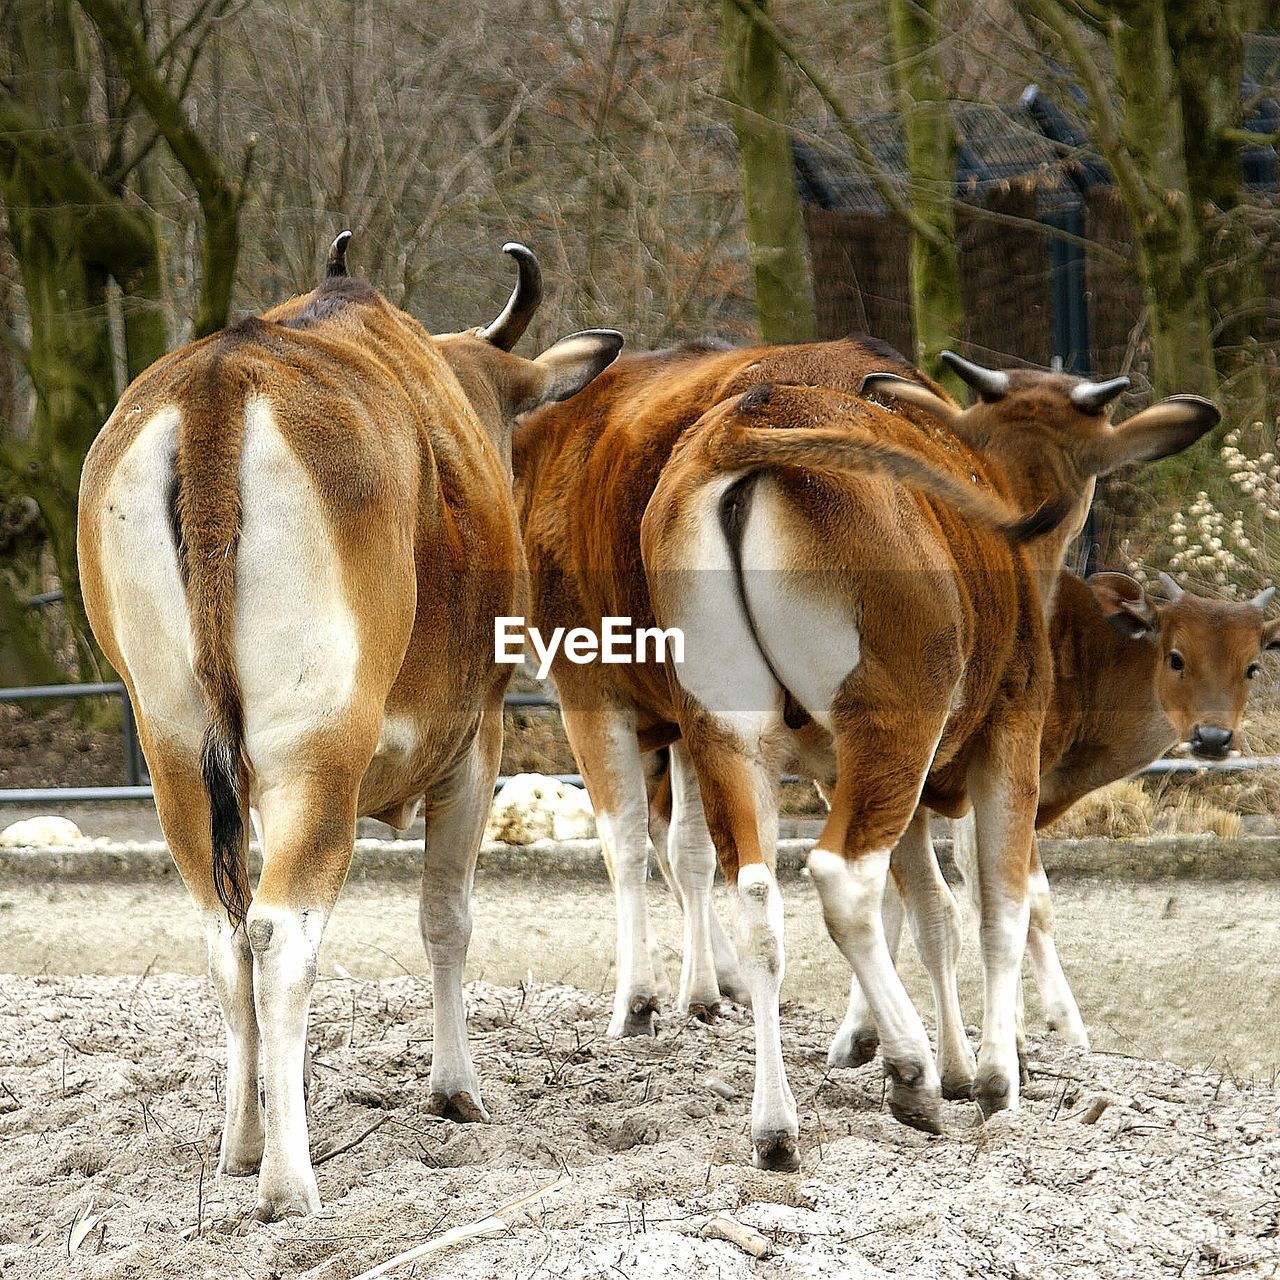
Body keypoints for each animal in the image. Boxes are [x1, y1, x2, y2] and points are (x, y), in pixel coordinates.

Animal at [74, 232, 624, 1218]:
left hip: (174, 748)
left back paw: (243, 1146)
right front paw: (455, 1089)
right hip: (318, 751)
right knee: (279, 932)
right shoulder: (475, 742)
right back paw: (290, 1183)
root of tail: (218, 385)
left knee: (225, 934)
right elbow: (446, 917)